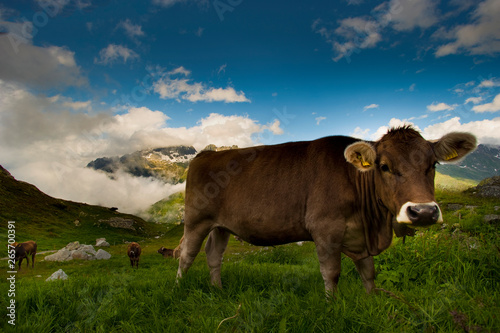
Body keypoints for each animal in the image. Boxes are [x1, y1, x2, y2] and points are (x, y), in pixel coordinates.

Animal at [177, 126, 476, 294]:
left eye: (433, 165)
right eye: (384, 166)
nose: (423, 212)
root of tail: (207, 154)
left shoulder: (359, 236)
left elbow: (368, 272)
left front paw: (371, 300)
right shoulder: (325, 229)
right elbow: (331, 273)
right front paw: (332, 305)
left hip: (221, 226)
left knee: (213, 255)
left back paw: (218, 290)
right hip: (196, 220)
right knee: (186, 255)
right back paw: (179, 289)